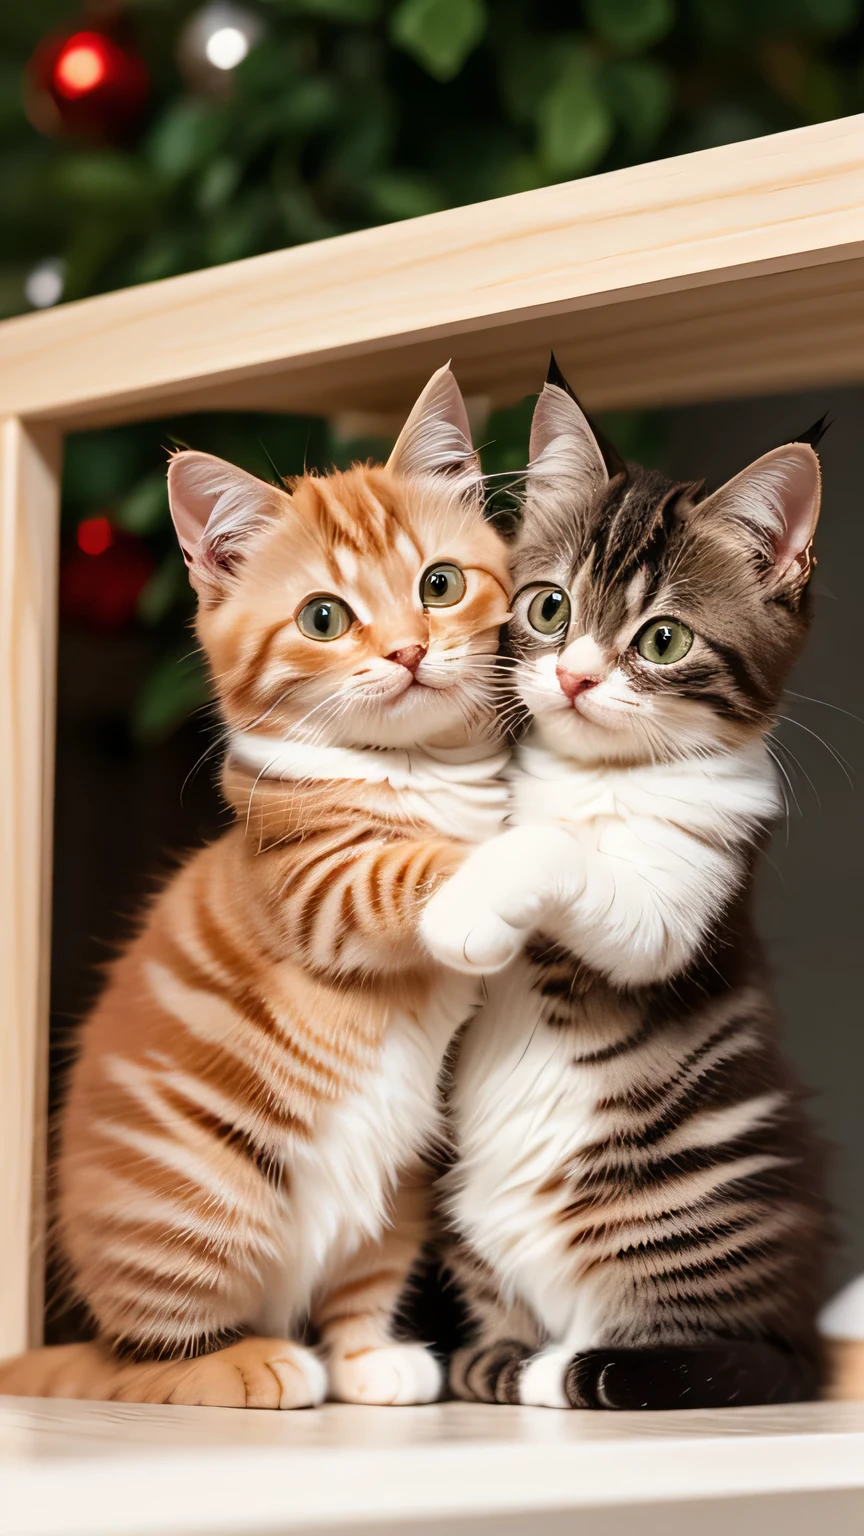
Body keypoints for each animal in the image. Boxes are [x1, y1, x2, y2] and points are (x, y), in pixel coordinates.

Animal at [0, 362, 510, 1406]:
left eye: (439, 585)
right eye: (324, 617)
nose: (408, 652)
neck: (422, 772)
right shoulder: (312, 888)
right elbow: (417, 865)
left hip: (395, 1189)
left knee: (354, 1289)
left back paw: (369, 1362)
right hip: (199, 1201)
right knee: (146, 1367)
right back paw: (249, 1364)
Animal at [421, 356, 830, 1406]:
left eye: (663, 641)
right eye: (549, 608)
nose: (574, 678)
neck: (593, 775)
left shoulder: (687, 901)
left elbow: (566, 857)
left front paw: (468, 910)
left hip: (703, 1208)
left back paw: (576, 1363)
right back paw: (502, 1356)